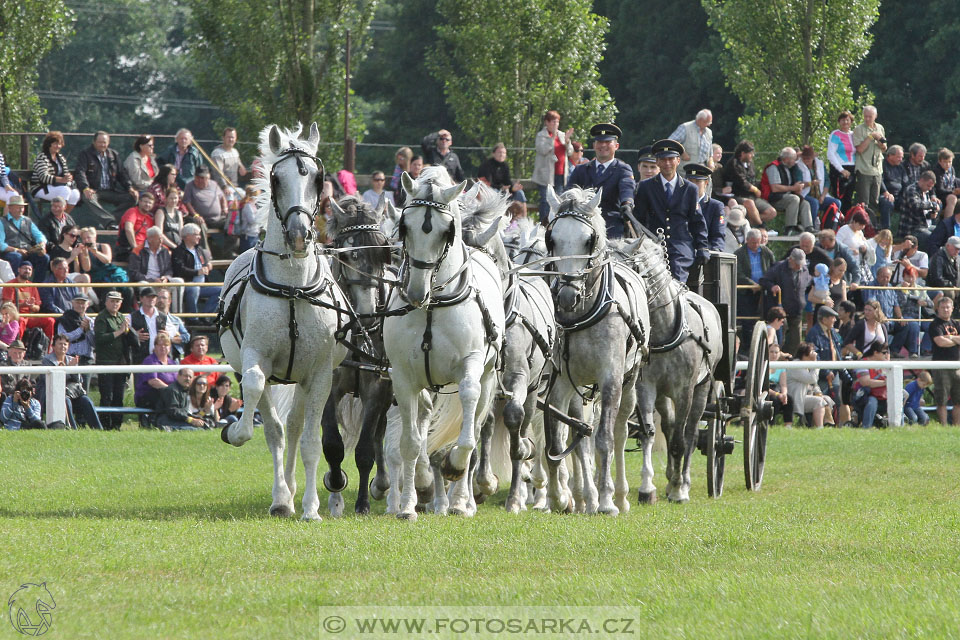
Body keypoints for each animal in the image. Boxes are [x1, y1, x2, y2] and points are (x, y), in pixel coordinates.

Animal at [219, 122, 346, 524]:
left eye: (318, 178)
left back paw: (291, 492)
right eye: (276, 179)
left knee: (293, 428)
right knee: (276, 429)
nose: (298, 234)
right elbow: (257, 396)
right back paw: (281, 496)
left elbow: (308, 442)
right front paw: (236, 431)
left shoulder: (320, 374)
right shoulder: (254, 358)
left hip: (301, 379)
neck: (293, 287)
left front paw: (311, 508)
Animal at [380, 166, 506, 520]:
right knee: (423, 422)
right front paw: (412, 498)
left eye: (446, 231)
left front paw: (454, 468)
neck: (432, 307)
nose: (415, 291)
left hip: (487, 378)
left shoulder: (471, 368)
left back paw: (462, 500)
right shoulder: (404, 377)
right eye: (404, 227)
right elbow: (411, 442)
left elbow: (466, 434)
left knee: (474, 427)